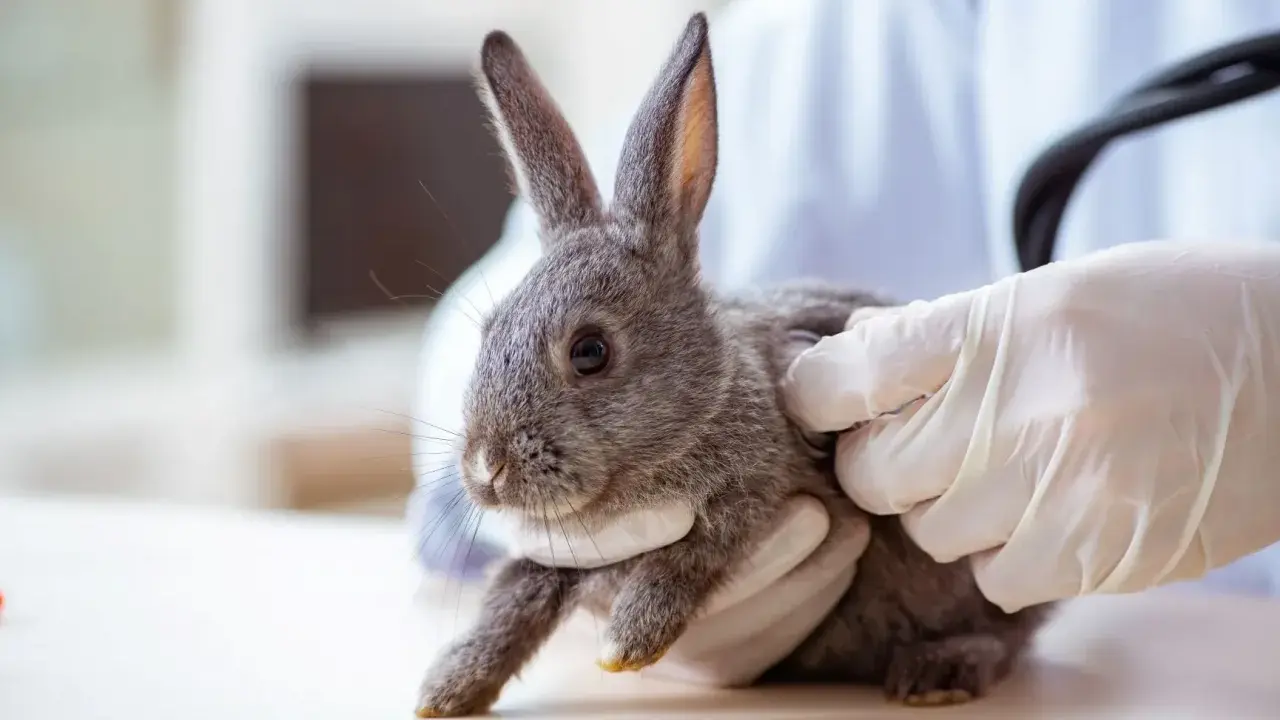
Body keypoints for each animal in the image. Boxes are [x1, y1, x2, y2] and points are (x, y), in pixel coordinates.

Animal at [415, 13, 1054, 718]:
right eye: (488, 329)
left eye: (589, 352)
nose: (485, 468)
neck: (707, 399)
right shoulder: (555, 555)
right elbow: (511, 599)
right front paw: (448, 688)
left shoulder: (760, 497)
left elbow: (693, 555)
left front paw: (628, 642)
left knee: (1009, 630)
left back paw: (941, 669)